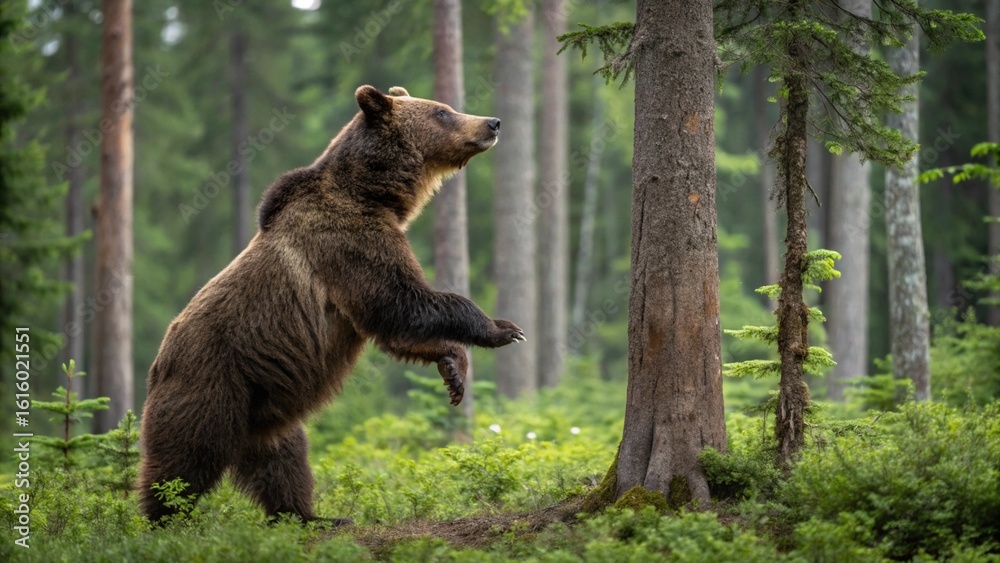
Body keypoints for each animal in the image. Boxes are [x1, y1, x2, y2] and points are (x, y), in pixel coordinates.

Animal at [137, 85, 525, 525]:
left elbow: (393, 328)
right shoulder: (347, 243)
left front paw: (453, 371)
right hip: (212, 384)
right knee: (187, 458)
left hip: (265, 403)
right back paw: (164, 517)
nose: (492, 122)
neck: (373, 194)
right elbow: (399, 303)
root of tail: (156, 365)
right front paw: (503, 329)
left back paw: (310, 515)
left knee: (283, 457)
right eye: (442, 112)